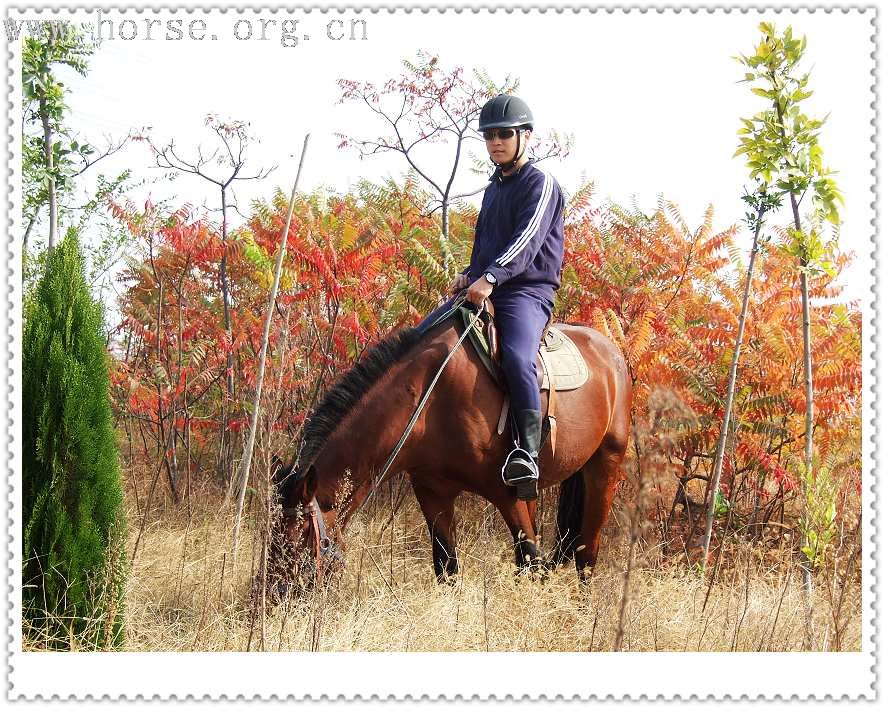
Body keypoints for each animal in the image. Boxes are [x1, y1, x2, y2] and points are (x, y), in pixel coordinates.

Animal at [266, 310, 632, 592]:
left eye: (297, 538)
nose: (274, 596)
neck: (429, 399)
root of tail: (609, 350)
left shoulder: (507, 494)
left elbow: (531, 559)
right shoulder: (434, 493)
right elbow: (447, 568)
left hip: (604, 466)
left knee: (586, 553)